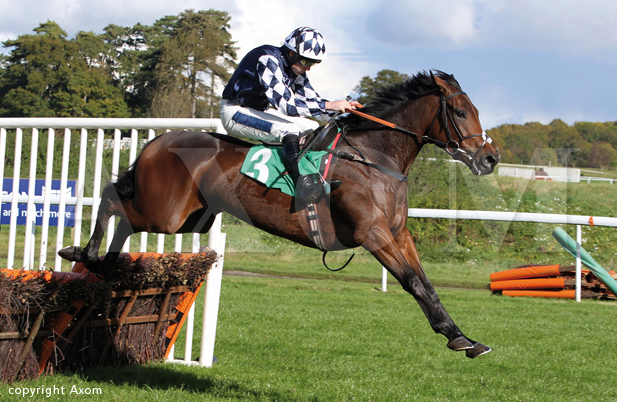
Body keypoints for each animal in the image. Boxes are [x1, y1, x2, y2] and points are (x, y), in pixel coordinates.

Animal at [57, 69, 500, 358]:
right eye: (461, 112)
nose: (490, 158)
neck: (375, 157)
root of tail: (160, 140)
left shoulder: (397, 233)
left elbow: (427, 284)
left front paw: (461, 336)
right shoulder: (372, 234)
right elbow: (414, 283)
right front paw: (458, 339)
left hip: (188, 217)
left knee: (124, 216)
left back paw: (106, 263)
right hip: (164, 211)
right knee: (112, 198)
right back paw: (83, 253)